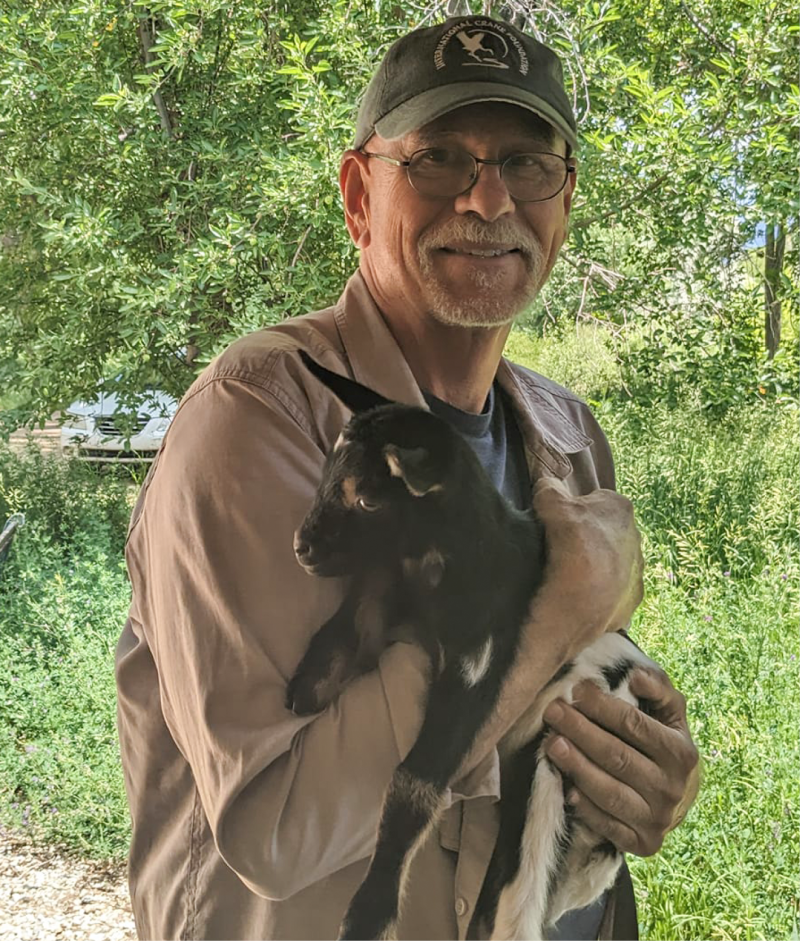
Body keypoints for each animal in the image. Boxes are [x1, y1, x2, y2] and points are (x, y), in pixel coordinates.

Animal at [288, 354, 656, 940]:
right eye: (325, 477)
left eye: (368, 498)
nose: (302, 548)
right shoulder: (382, 595)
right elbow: (349, 629)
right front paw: (308, 687)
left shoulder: (475, 670)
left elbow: (414, 781)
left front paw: (370, 912)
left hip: (547, 767)